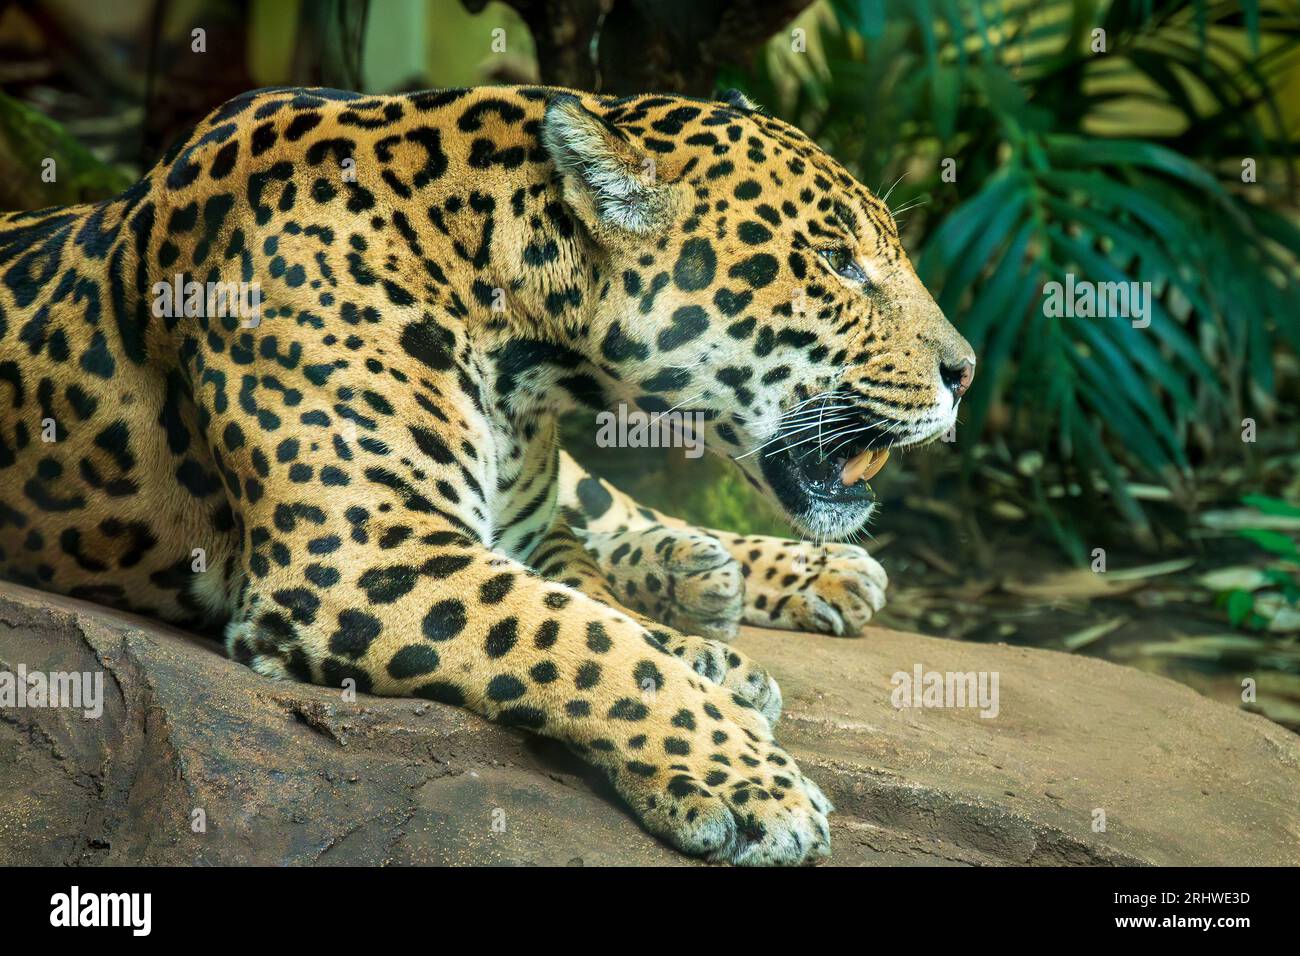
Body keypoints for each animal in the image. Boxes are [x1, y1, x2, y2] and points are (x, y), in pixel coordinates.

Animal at [0, 84, 975, 865]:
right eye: (838, 263)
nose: (965, 372)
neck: (523, 348)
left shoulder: (517, 530)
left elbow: (586, 594)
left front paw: (709, 668)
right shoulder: (365, 554)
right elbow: (585, 636)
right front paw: (751, 781)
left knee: (606, 502)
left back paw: (783, 571)